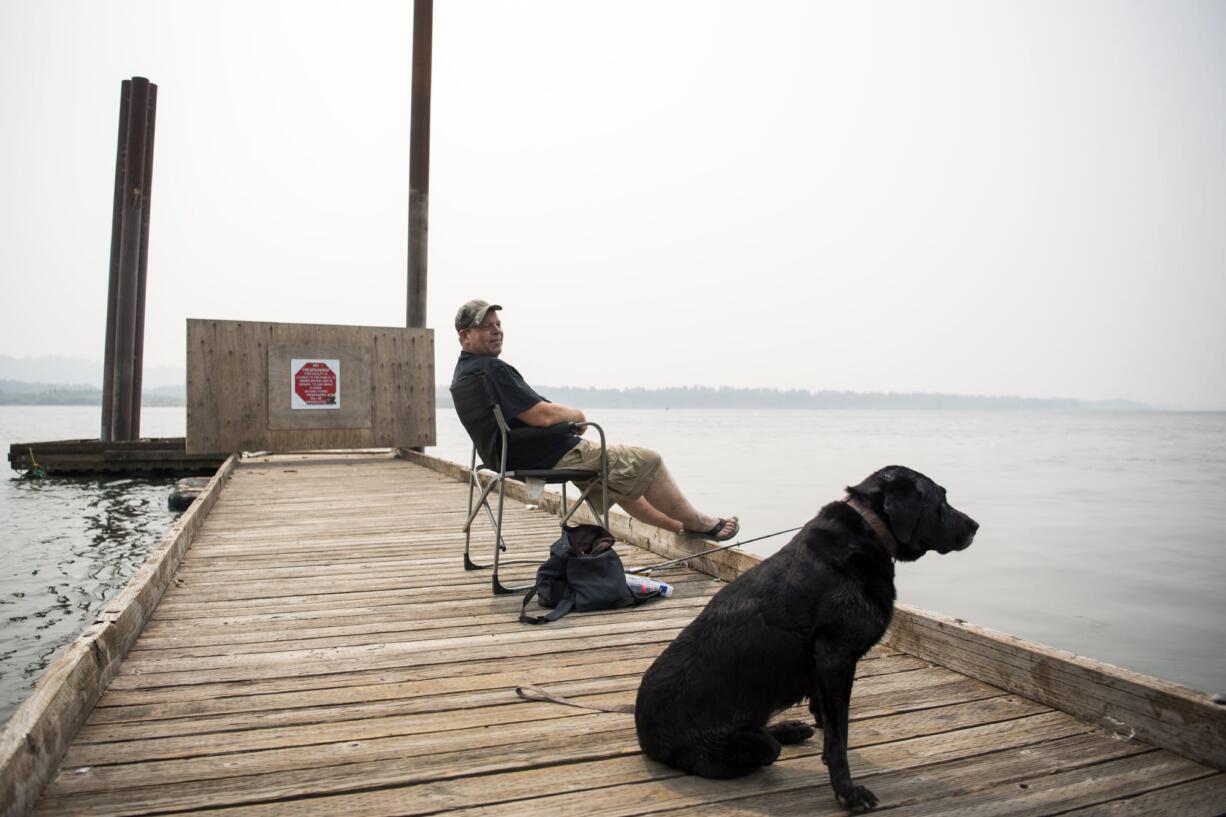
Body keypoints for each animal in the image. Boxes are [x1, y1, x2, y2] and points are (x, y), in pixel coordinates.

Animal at [637, 463, 980, 809]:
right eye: (942, 500)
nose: (975, 526)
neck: (869, 530)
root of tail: (644, 736)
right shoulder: (836, 657)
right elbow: (839, 738)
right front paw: (847, 793)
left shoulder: (824, 667)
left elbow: (826, 719)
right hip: (731, 745)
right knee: (764, 746)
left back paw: (790, 729)